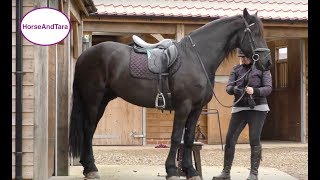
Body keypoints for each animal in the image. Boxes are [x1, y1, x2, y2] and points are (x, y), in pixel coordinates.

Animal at [69, 7, 272, 179]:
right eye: (254, 33)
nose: (267, 62)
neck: (196, 58)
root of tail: (84, 55)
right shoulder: (183, 107)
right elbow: (175, 137)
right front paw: (172, 170)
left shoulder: (196, 109)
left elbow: (188, 138)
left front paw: (190, 171)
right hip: (93, 100)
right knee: (88, 129)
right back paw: (91, 168)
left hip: (103, 100)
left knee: (90, 130)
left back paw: (87, 166)